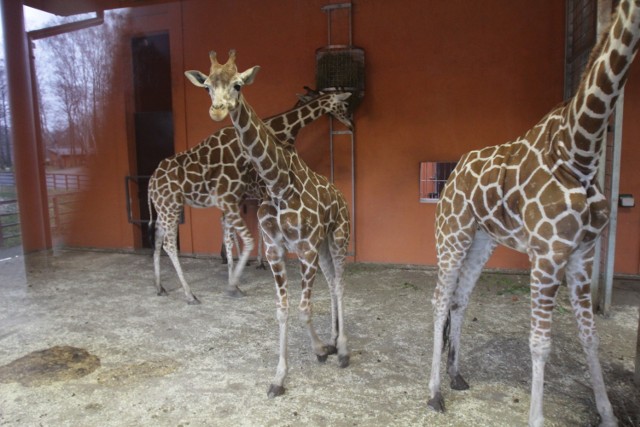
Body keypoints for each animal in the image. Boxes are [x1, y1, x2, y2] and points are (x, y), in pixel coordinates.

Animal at [148, 88, 352, 304]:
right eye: (345, 104)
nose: (351, 123)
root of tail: (151, 182)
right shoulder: (254, 194)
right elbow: (254, 233)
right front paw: (247, 273)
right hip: (172, 207)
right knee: (171, 243)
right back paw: (191, 292)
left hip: (166, 208)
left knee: (160, 236)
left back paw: (160, 286)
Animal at [185, 50, 352, 398]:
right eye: (207, 87)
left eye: (238, 84)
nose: (217, 109)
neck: (278, 184)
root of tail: (341, 195)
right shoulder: (279, 250)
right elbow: (282, 310)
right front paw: (280, 377)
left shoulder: (304, 250)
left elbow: (303, 308)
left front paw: (320, 349)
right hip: (323, 246)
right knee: (333, 284)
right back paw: (333, 339)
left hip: (339, 237)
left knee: (340, 284)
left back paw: (342, 349)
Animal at [428, 1, 640, 426]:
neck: (580, 152)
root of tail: (452, 174)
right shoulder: (547, 254)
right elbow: (540, 343)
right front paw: (537, 418)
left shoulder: (582, 253)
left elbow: (591, 337)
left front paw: (608, 414)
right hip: (452, 233)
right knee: (440, 301)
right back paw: (433, 393)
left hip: (482, 240)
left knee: (460, 299)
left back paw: (456, 375)